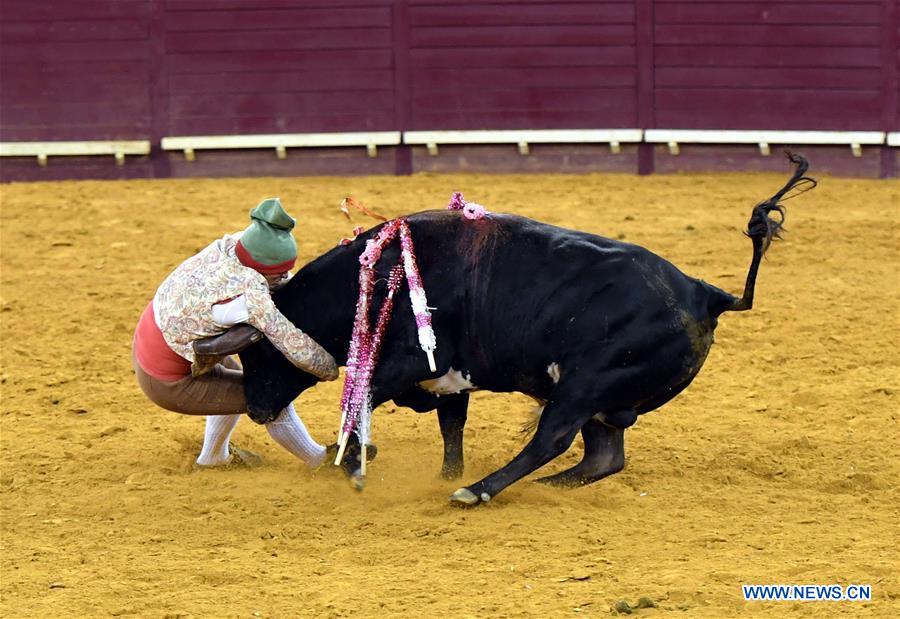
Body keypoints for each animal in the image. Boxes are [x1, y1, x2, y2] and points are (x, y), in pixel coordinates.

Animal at [236, 154, 812, 504]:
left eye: (260, 353)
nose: (256, 411)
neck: (376, 276)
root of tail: (703, 293)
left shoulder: (411, 363)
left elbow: (362, 402)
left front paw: (356, 467)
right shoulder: (449, 379)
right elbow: (451, 426)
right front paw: (444, 473)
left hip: (586, 384)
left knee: (553, 439)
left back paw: (479, 492)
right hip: (600, 397)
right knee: (603, 455)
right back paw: (545, 487)